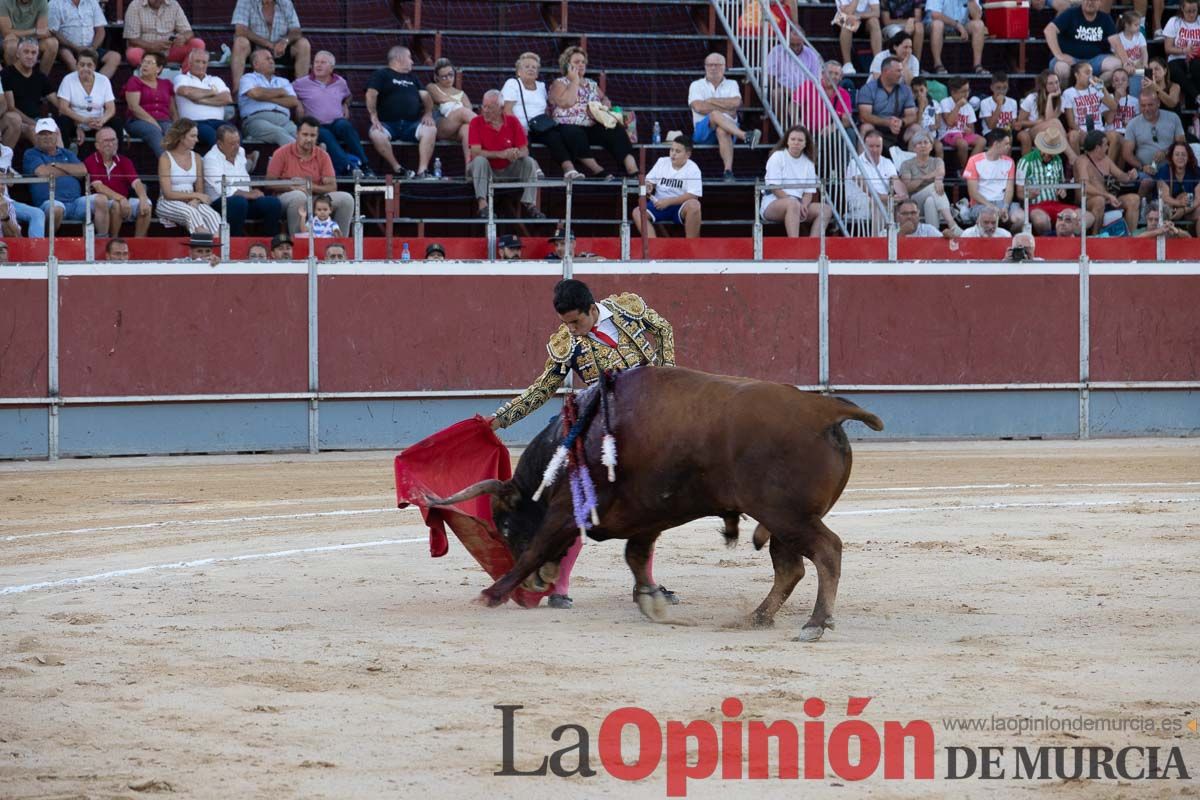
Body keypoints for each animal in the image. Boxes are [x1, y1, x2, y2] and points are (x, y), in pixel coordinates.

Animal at [429, 367, 883, 642]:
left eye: (505, 525)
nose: (538, 587)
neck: (579, 437)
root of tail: (824, 408)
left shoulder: (565, 511)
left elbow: (537, 548)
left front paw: (491, 594)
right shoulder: (646, 517)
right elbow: (635, 556)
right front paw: (652, 599)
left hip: (787, 516)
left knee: (826, 552)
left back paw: (815, 623)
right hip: (782, 522)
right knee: (791, 568)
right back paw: (757, 617)